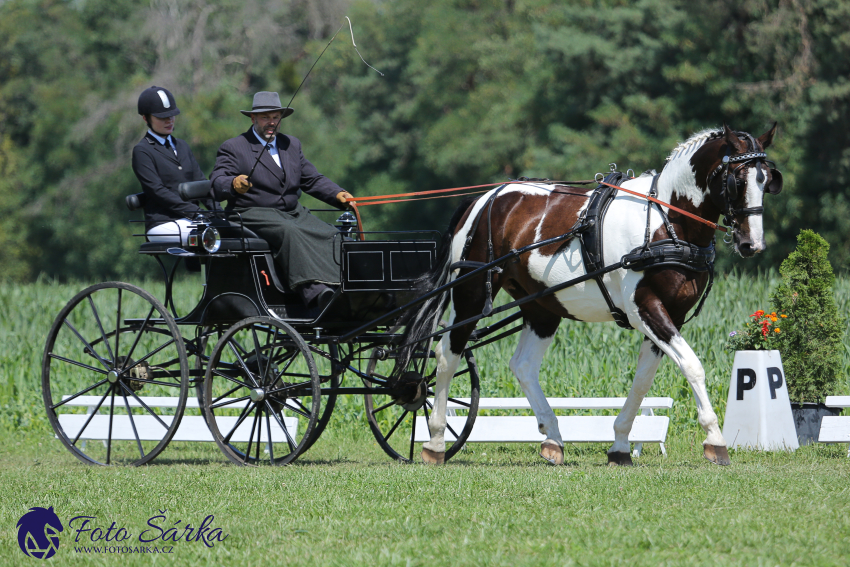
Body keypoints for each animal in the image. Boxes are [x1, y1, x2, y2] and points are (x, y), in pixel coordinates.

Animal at [400, 123, 780, 466]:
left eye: (767, 180)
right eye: (737, 181)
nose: (753, 244)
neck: (666, 221)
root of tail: (482, 199)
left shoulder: (671, 314)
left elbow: (643, 382)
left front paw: (620, 445)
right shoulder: (645, 308)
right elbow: (692, 365)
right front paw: (715, 439)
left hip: (542, 306)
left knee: (523, 365)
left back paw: (553, 439)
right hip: (471, 293)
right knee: (448, 355)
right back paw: (435, 441)